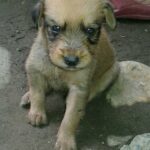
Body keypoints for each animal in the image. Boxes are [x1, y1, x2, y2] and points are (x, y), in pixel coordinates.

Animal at [21, 0, 119, 149]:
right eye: (55, 28)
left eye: (90, 30)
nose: (71, 61)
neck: (58, 69)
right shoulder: (34, 69)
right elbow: (37, 94)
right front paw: (36, 113)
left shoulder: (79, 88)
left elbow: (70, 117)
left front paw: (65, 140)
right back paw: (28, 97)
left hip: (111, 73)